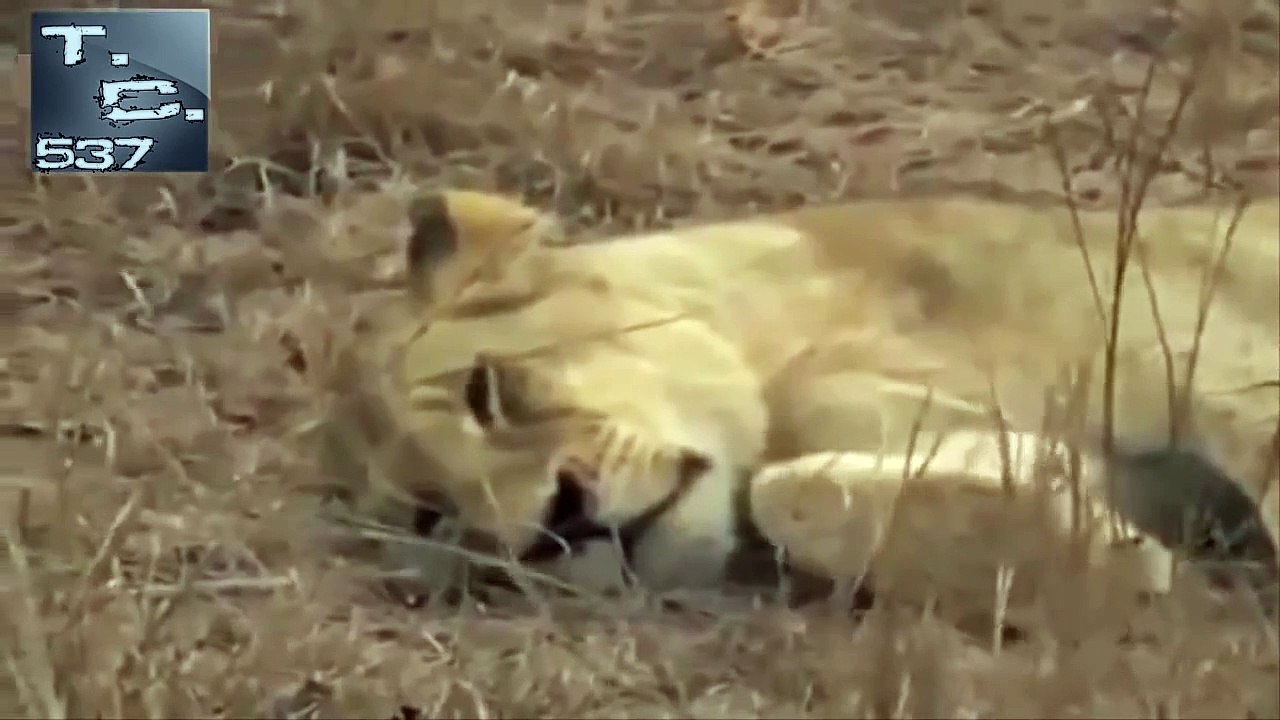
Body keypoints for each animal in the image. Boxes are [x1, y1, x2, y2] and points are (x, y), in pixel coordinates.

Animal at [319, 188, 1279, 623]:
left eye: (483, 393)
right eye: (438, 519)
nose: (559, 525)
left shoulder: (1215, 356)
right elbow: (786, 490)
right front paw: (1099, 557)